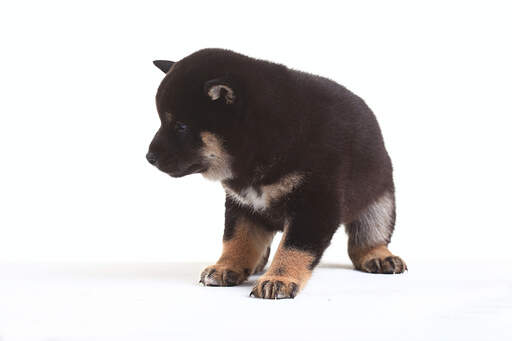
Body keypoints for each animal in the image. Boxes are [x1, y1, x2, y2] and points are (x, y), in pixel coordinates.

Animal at [146, 47, 406, 298]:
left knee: (369, 235)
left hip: (381, 199)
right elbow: (237, 239)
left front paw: (279, 279)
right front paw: (226, 267)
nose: (149, 157)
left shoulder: (314, 204)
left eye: (181, 126)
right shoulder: (242, 205)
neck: (262, 133)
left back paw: (379, 256)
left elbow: (294, 246)